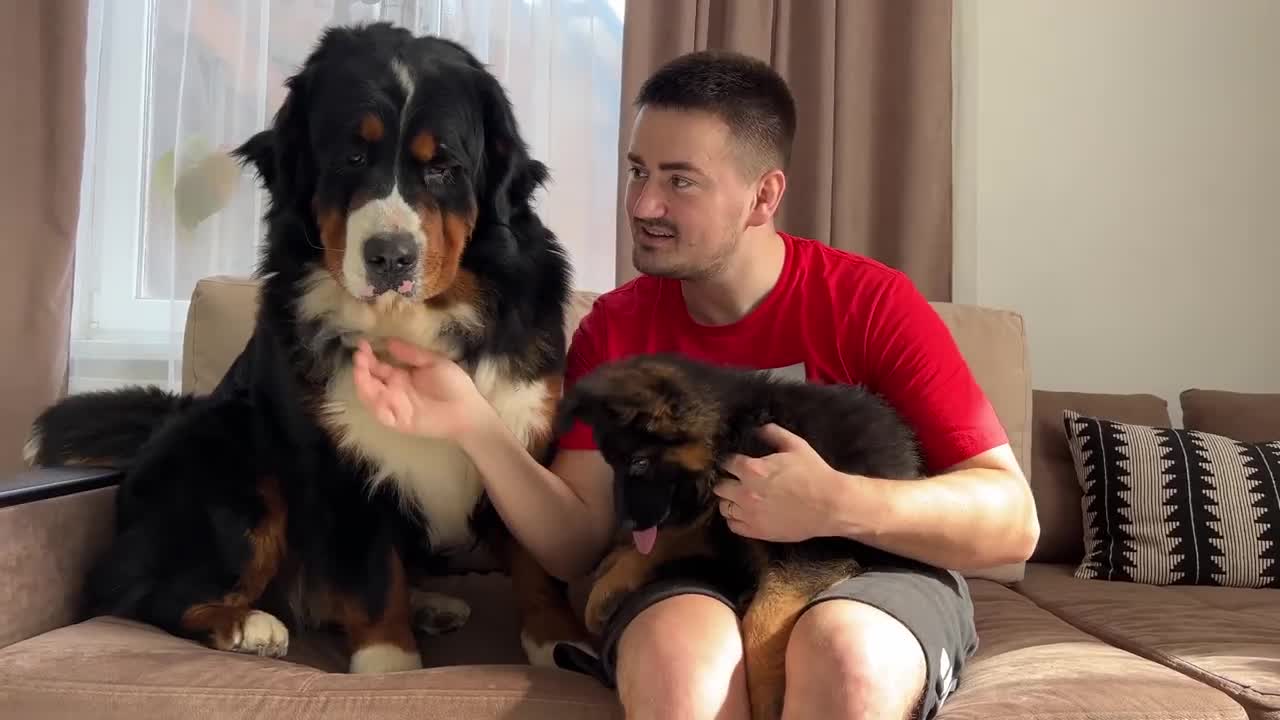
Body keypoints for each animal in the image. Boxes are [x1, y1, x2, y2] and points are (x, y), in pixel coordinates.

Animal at [24, 22, 586, 671]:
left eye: (444, 167)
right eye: (352, 156)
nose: (390, 257)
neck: (407, 324)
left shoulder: (524, 433)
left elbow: (537, 560)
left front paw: (557, 641)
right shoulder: (336, 455)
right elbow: (372, 577)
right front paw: (389, 665)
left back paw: (430, 604)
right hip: (234, 455)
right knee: (143, 595)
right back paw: (247, 624)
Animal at [555, 351, 926, 717]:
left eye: (639, 463)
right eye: (612, 464)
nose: (623, 526)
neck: (735, 432)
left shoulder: (814, 543)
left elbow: (761, 621)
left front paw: (767, 702)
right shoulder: (721, 524)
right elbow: (673, 536)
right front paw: (609, 583)